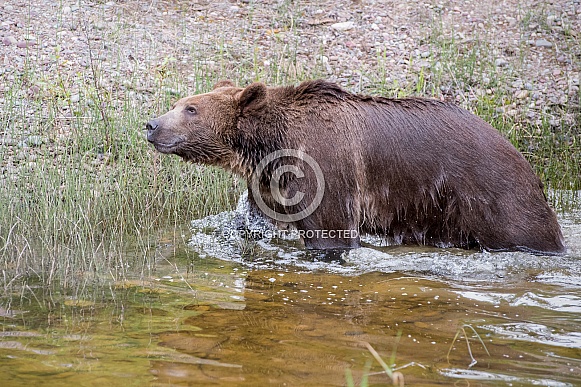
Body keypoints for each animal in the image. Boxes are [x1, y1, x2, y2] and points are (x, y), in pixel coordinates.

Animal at [147, 80, 564, 256]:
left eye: (190, 109)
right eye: (180, 103)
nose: (151, 124)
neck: (271, 143)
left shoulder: (324, 166)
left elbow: (329, 231)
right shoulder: (271, 179)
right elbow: (259, 218)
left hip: (489, 194)